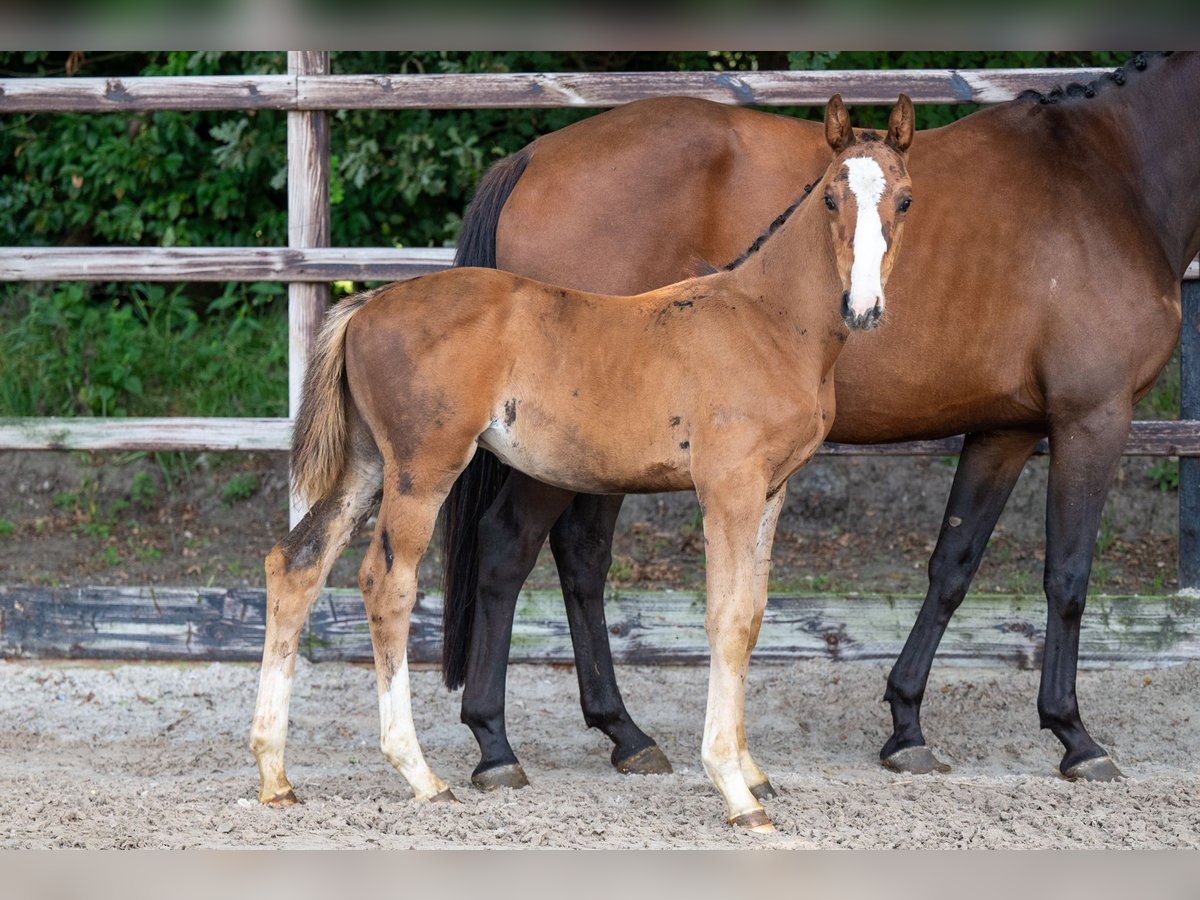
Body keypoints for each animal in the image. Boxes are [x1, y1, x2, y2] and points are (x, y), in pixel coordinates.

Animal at [248, 95, 912, 835]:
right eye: (829, 197)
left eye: (905, 198)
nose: (864, 307)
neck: (766, 320)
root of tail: (367, 304)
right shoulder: (728, 489)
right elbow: (727, 617)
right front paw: (735, 790)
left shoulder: (773, 490)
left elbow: (754, 617)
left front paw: (751, 770)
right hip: (422, 470)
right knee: (384, 582)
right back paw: (421, 774)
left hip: (365, 467)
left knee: (296, 566)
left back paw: (275, 776)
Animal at [444, 52, 1200, 787]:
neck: (1109, 176)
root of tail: (533, 157)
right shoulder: (1092, 417)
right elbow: (1068, 577)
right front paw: (1075, 737)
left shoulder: (1005, 428)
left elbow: (952, 566)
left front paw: (906, 725)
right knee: (509, 547)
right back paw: (496, 744)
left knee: (581, 557)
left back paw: (624, 734)